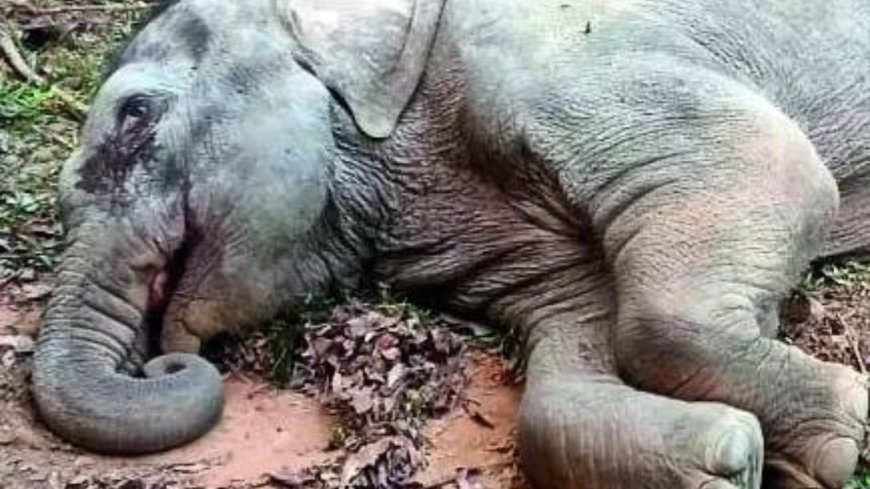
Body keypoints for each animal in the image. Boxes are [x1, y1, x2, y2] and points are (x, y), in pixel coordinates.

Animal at [30, 0, 870, 487]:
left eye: (135, 115)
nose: (163, 362)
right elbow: (572, 358)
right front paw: (736, 456)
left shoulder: (553, 56)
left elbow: (778, 167)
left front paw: (846, 422)